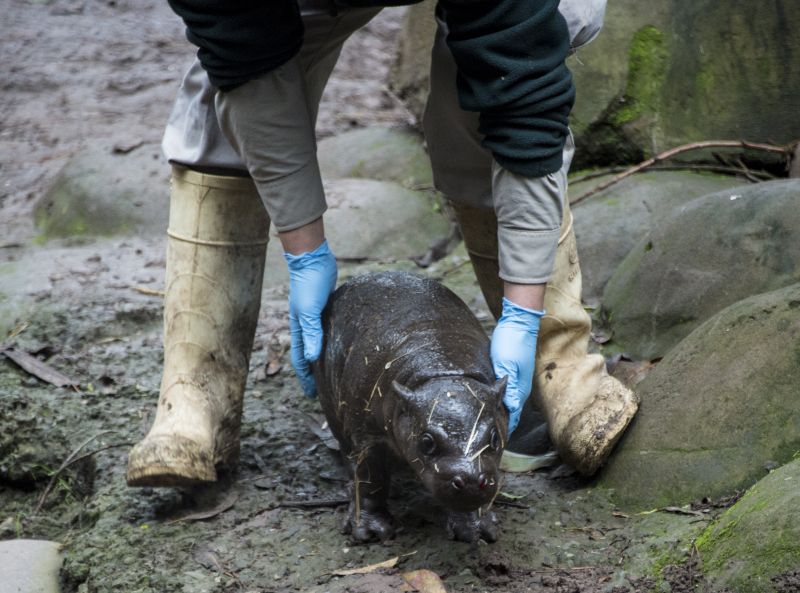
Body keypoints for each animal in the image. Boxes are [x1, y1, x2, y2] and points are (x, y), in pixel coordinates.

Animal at [313, 271, 508, 543]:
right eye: (427, 441)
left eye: (494, 438)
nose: (470, 480)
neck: (443, 372)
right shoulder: (369, 437)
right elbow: (370, 480)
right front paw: (371, 532)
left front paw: (476, 530)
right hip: (332, 407)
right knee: (348, 452)